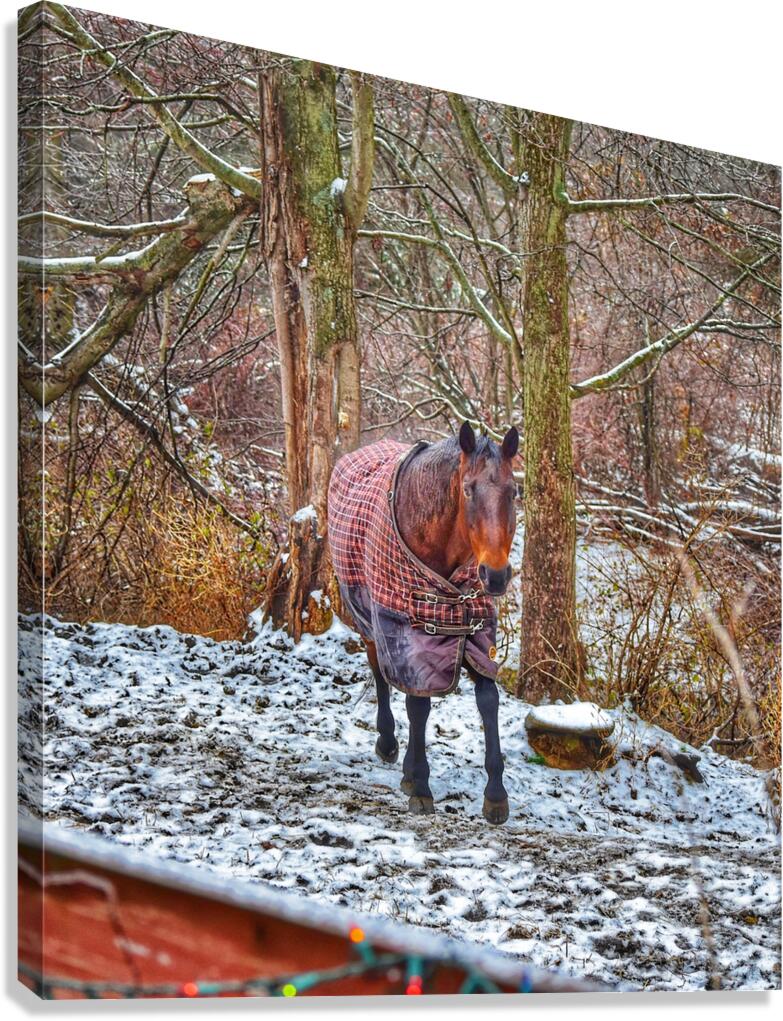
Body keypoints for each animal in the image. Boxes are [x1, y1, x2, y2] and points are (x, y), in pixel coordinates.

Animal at [327, 421, 518, 825]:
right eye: (468, 489)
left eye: (513, 491)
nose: (495, 575)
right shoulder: (407, 634)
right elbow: (418, 707)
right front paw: (420, 785)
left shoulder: (475, 635)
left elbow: (488, 701)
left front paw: (495, 796)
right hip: (371, 622)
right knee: (381, 676)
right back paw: (388, 743)